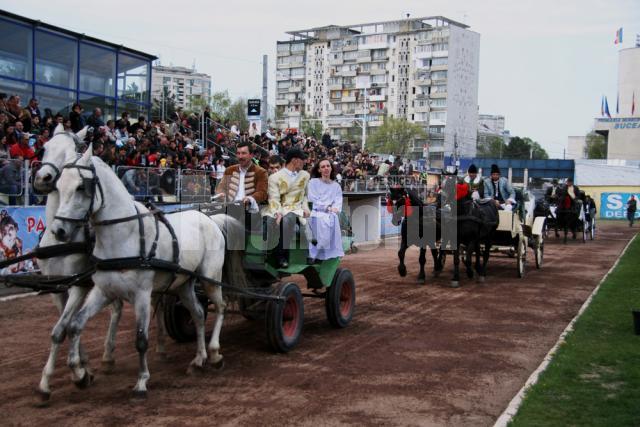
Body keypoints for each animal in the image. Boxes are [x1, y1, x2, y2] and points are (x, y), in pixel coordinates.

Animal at [34, 124, 125, 402]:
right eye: (44, 147)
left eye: (71, 151)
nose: (43, 178)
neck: (61, 240)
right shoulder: (56, 287)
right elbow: (63, 327)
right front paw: (83, 368)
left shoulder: (79, 285)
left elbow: (60, 329)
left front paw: (68, 376)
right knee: (117, 307)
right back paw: (106, 357)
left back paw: (108, 355)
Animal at [50, 147, 235, 398]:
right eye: (59, 186)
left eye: (81, 187)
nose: (58, 230)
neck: (123, 237)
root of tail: (209, 218)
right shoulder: (103, 291)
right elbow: (75, 325)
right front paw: (80, 375)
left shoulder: (142, 294)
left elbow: (141, 339)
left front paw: (141, 381)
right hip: (184, 282)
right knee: (197, 313)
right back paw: (198, 360)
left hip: (211, 277)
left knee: (222, 306)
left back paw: (215, 353)